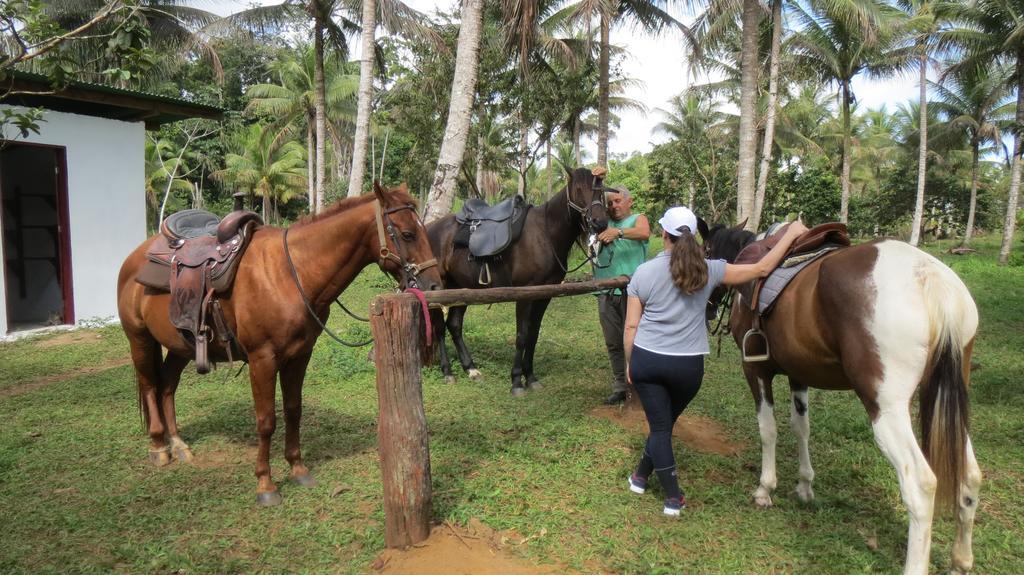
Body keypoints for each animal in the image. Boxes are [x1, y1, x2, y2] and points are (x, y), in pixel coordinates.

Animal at [117, 182, 442, 501]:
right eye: (407, 234)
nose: (434, 285)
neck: (291, 274)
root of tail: (135, 256)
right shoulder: (262, 359)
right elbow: (266, 420)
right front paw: (265, 483)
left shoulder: (300, 355)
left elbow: (293, 409)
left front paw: (298, 468)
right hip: (140, 339)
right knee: (150, 386)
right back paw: (159, 447)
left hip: (180, 345)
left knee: (167, 386)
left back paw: (178, 444)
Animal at [425, 165, 606, 392]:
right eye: (579, 189)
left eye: (601, 191)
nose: (600, 222)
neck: (545, 234)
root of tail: (430, 229)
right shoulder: (525, 295)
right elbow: (521, 336)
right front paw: (517, 381)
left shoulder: (544, 296)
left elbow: (533, 335)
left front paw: (531, 377)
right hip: (439, 289)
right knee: (439, 327)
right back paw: (448, 372)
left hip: (460, 287)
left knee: (454, 325)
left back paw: (471, 369)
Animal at [704, 219, 983, 572]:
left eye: (705, 251)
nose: (707, 310)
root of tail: (928, 277)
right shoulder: (799, 374)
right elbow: (801, 428)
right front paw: (805, 486)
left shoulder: (756, 370)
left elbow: (768, 431)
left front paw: (765, 489)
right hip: (949, 401)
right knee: (970, 476)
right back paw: (961, 560)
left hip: (887, 410)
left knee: (920, 485)